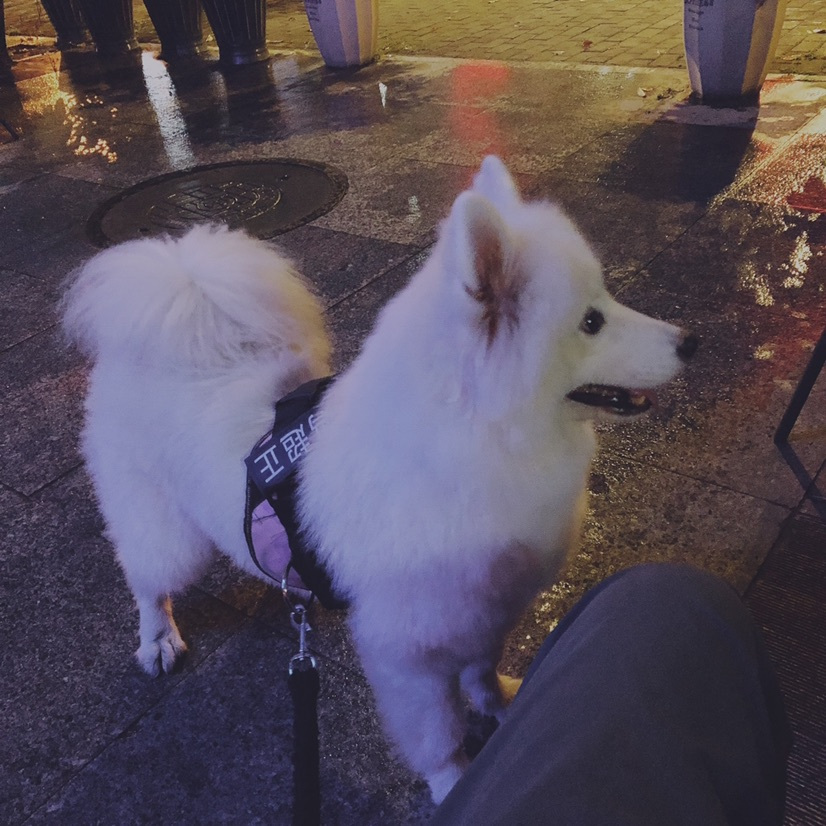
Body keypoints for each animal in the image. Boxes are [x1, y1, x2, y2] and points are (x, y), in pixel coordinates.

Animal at [62, 156, 697, 803]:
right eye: (591, 322)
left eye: (606, 298)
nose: (690, 341)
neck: (478, 444)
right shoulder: (409, 655)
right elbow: (438, 733)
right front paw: (454, 785)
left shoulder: (484, 611)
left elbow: (482, 672)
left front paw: (505, 706)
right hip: (168, 532)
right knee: (146, 577)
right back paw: (157, 639)